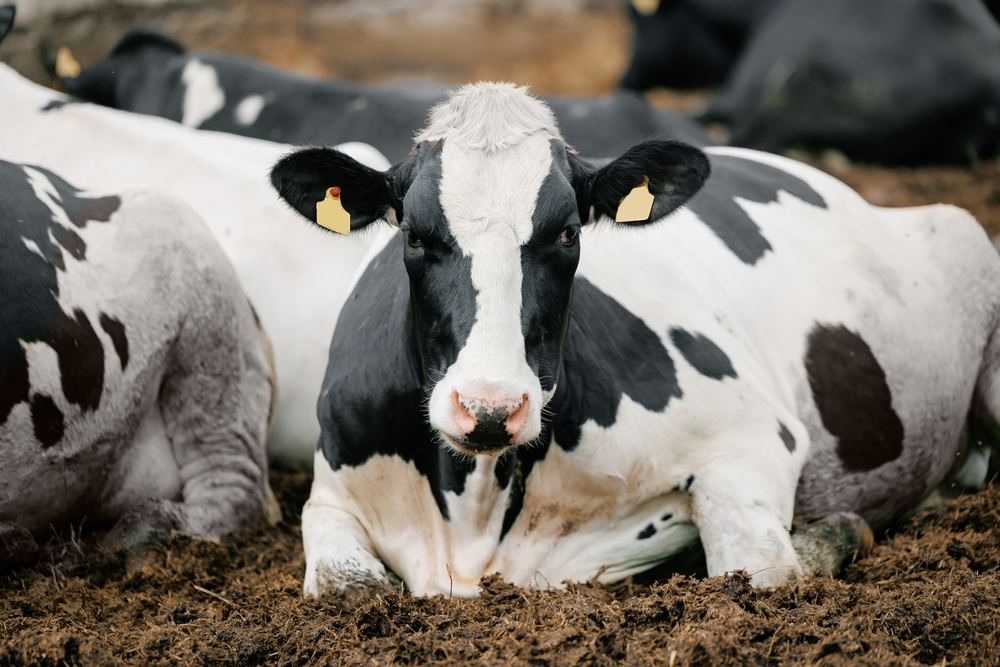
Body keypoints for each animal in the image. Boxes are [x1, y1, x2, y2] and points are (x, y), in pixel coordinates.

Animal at [269, 82, 1000, 605]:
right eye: (415, 235)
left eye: (568, 231)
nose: (488, 407)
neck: (473, 511)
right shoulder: (332, 491)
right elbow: (345, 589)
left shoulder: (752, 435)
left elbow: (762, 571)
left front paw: (833, 532)